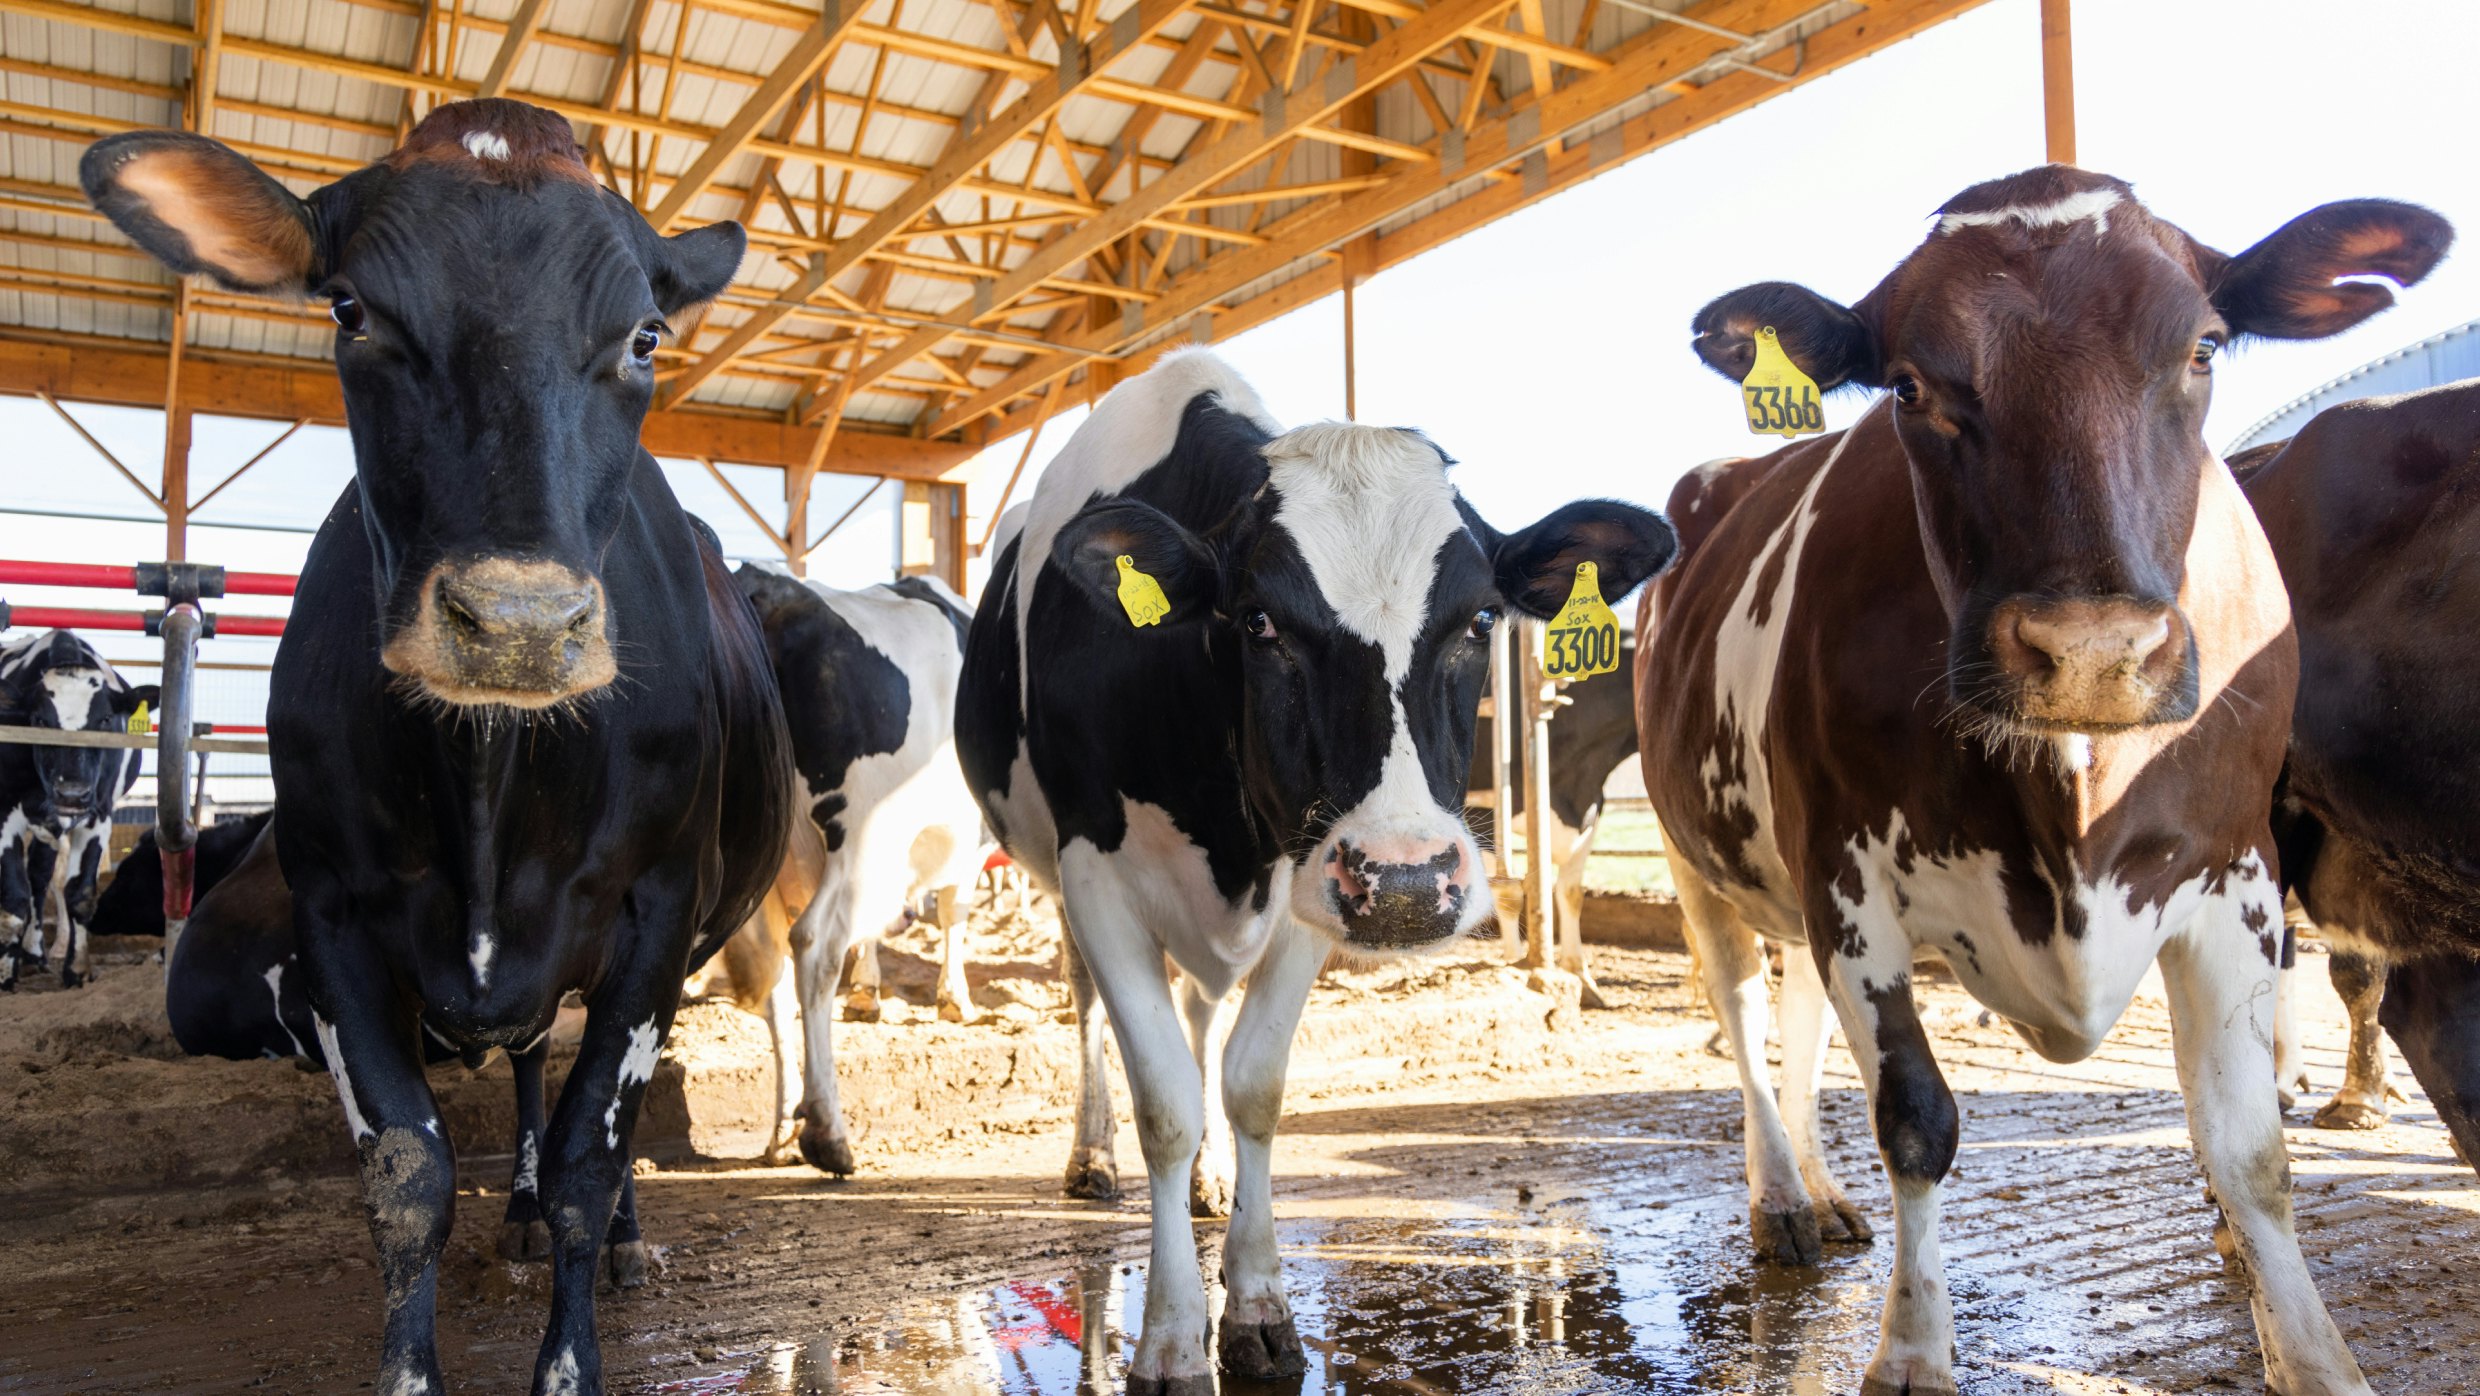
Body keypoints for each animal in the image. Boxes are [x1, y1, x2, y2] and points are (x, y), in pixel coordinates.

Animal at [1, 629, 154, 989]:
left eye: (106, 719)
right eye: (39, 720)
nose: (72, 793)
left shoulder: (98, 816)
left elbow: (80, 894)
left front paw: (77, 969)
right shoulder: (5, 810)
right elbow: (13, 900)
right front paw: (4, 973)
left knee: (40, 875)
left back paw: (34, 955)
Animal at [83, 97, 791, 1396]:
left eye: (645, 336)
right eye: (350, 310)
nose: (517, 623)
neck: (488, 790)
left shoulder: (658, 911)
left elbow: (592, 1153)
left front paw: (569, 1355)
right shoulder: (330, 911)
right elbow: (407, 1173)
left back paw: (624, 1240)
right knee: (523, 1067)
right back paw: (512, 1207)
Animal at [730, 565, 986, 1175]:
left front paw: (870, 989)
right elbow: (954, 910)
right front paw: (955, 998)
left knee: (776, 982)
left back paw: (783, 1125)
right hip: (865, 832)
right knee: (816, 945)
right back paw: (826, 1130)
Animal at [956, 348, 1675, 1392]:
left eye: (1481, 618)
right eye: (1259, 622)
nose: (1411, 881)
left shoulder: (1310, 881)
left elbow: (1252, 1085)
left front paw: (1256, 1305)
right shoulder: (1097, 871)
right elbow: (1164, 1101)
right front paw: (1171, 1337)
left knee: (1203, 1016)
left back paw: (1212, 1181)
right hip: (1055, 872)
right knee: (1088, 1000)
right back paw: (1091, 1158)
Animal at [1636, 166, 2448, 1396]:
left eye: (2204, 345)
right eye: (1909, 385)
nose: (2091, 651)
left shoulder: (2236, 875)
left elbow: (2247, 1147)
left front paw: (2314, 1358)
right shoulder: (1849, 881)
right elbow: (1915, 1122)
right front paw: (1912, 1349)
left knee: (1797, 1015)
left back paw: (1822, 1193)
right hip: (1702, 855)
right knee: (1737, 1002)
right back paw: (1781, 1198)